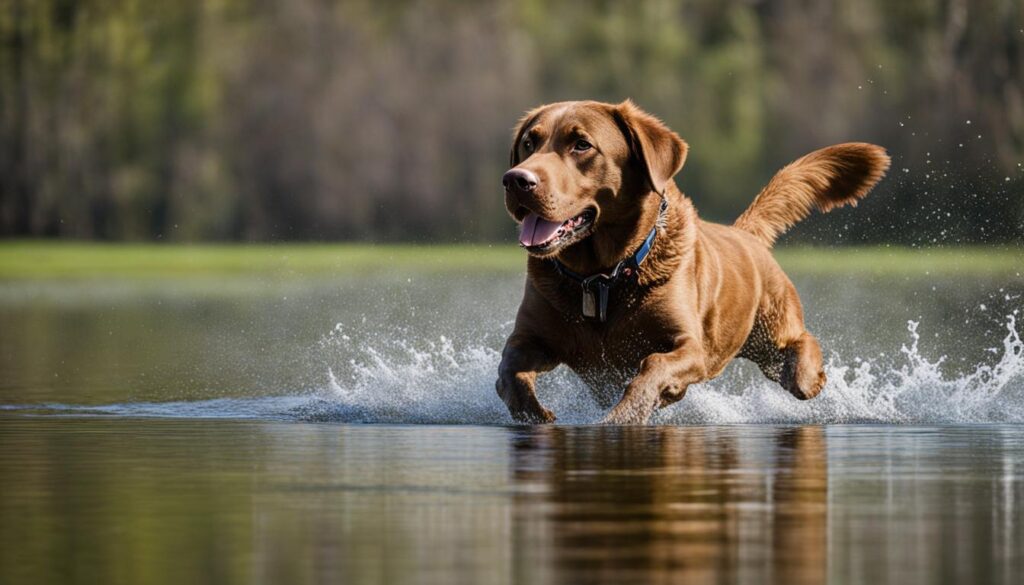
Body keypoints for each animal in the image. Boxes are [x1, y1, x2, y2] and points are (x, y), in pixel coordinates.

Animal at [495, 98, 888, 424]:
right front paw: (535, 414)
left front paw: (624, 415)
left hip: (773, 333)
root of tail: (746, 233)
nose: (516, 180)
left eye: (581, 144)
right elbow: (509, 369)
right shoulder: (530, 336)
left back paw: (811, 373)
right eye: (529, 143)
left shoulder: (691, 347)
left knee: (802, 350)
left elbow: (652, 366)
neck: (601, 278)